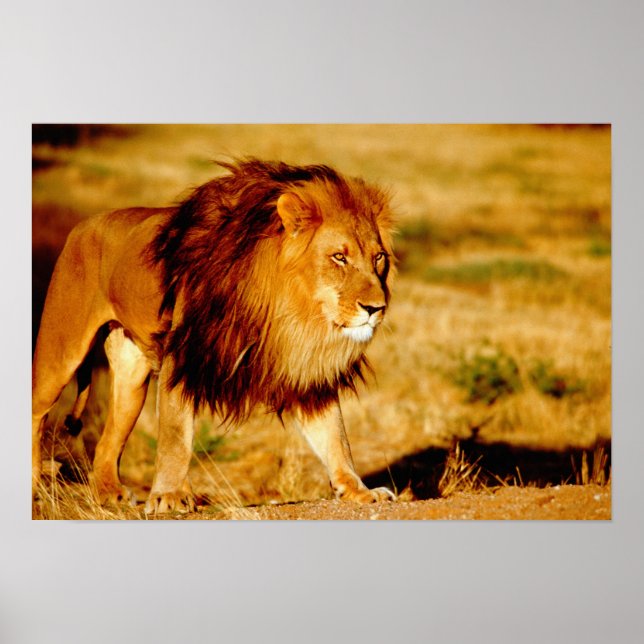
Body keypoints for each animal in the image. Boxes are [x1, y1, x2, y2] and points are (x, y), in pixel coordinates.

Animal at [32, 159, 396, 513]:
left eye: (378, 257)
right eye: (339, 257)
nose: (376, 308)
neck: (292, 312)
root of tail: (86, 223)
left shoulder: (306, 372)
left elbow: (336, 436)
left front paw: (359, 490)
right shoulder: (182, 355)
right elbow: (176, 435)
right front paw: (169, 495)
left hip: (131, 382)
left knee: (108, 441)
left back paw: (109, 493)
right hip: (60, 354)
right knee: (37, 411)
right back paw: (36, 485)